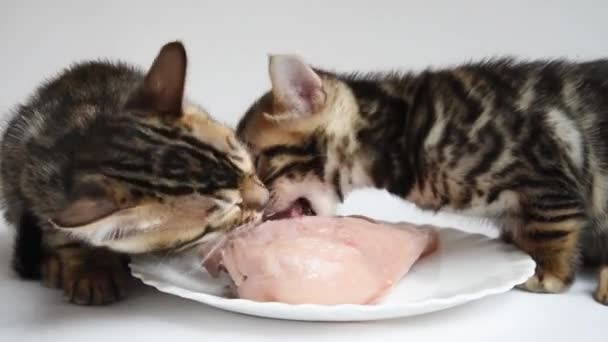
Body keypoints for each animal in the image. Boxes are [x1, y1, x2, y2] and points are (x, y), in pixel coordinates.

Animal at [0, 41, 268, 306]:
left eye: (245, 164)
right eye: (221, 215)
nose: (266, 200)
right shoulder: (36, 178)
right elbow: (60, 231)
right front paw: (91, 268)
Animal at [236, 54, 608, 304]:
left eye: (259, 163)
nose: (253, 205)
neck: (401, 131)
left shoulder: (547, 164)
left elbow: (551, 227)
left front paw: (549, 273)